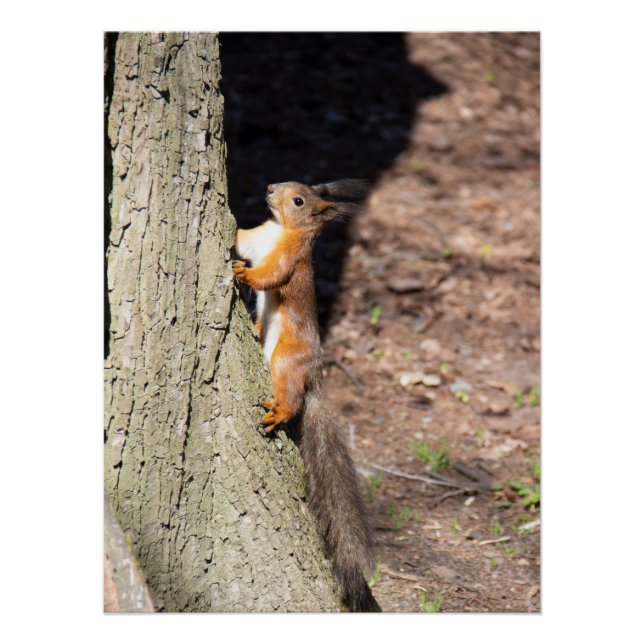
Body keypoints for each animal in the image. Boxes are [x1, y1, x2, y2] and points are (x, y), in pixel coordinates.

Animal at [232, 179, 379, 612]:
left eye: (299, 200)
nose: (269, 188)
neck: (280, 228)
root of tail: (313, 375)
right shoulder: (256, 238)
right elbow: (242, 240)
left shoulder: (289, 259)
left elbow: (269, 276)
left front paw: (242, 274)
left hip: (286, 358)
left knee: (292, 398)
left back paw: (279, 412)